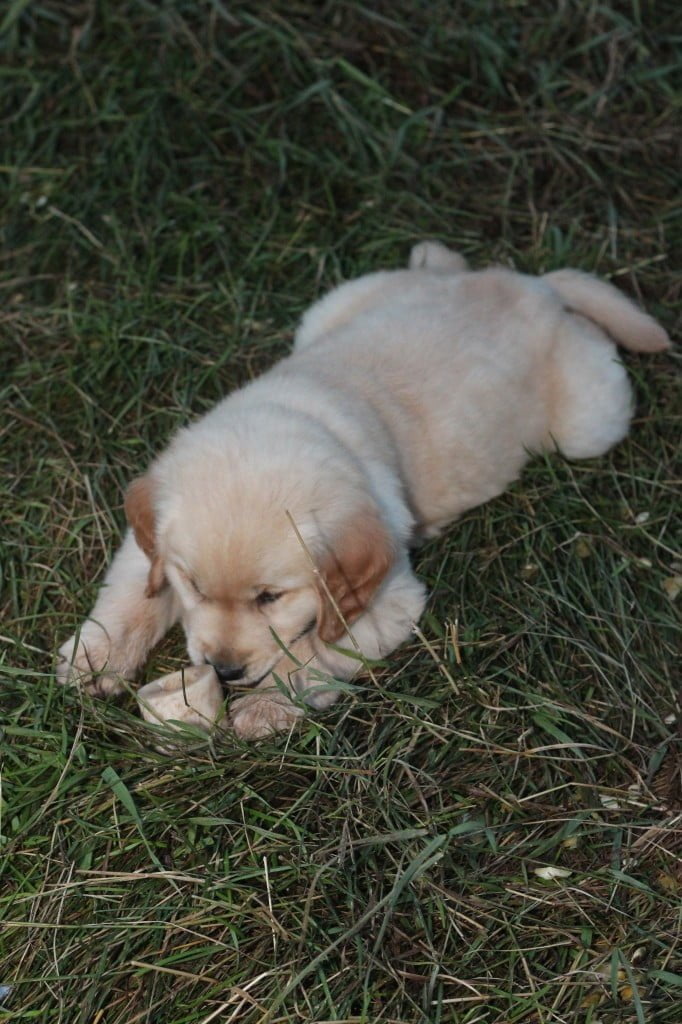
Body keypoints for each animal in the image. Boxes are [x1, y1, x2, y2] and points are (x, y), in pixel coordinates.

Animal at [55, 241, 667, 737]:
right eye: (195, 587)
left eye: (270, 597)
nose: (225, 671)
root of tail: (531, 288)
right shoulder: (147, 541)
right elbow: (131, 596)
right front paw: (98, 658)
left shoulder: (390, 600)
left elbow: (310, 649)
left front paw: (266, 705)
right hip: (331, 307)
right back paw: (436, 258)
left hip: (588, 423)